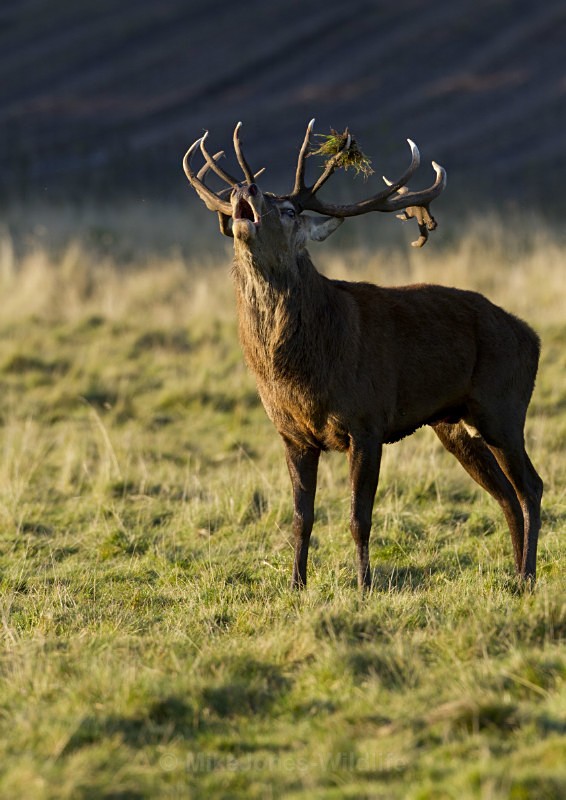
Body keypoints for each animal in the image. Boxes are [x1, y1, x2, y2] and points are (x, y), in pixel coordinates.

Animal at [182, 120, 542, 591]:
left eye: (290, 210)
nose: (247, 187)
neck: (302, 373)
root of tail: (533, 338)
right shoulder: (291, 433)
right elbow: (301, 517)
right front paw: (295, 584)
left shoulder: (367, 422)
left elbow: (359, 517)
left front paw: (365, 585)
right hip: (454, 425)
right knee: (505, 494)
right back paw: (516, 577)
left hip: (503, 407)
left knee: (531, 488)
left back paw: (529, 577)